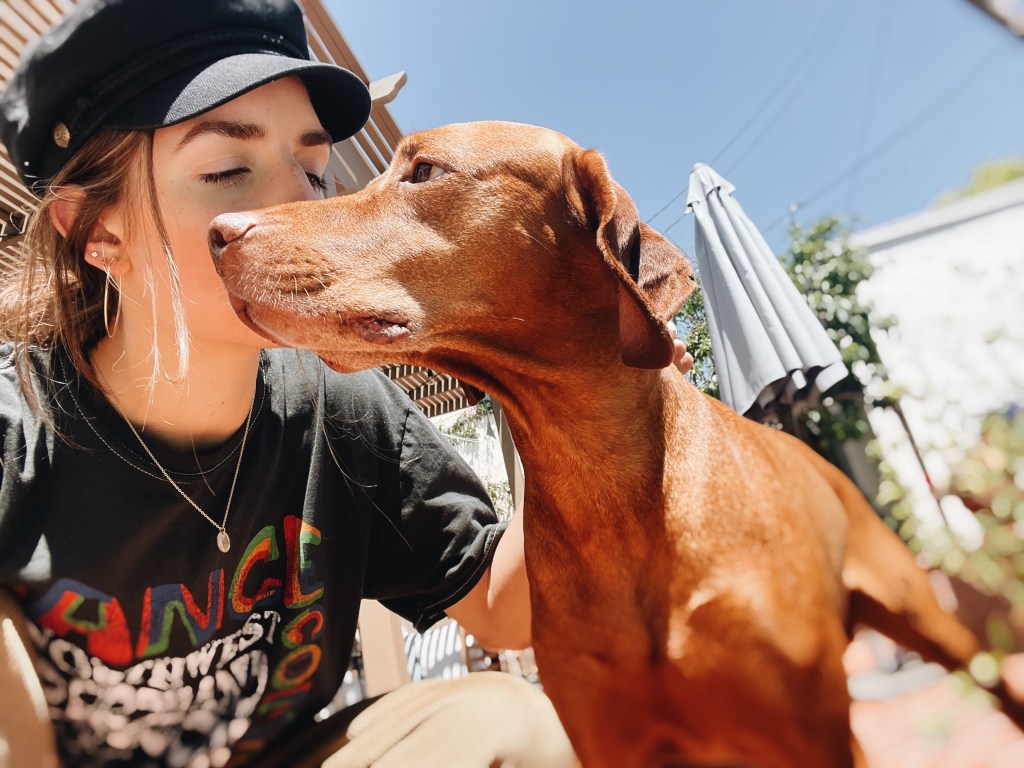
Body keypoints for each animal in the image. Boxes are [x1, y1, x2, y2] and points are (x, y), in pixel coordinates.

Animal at [209, 121, 1024, 767]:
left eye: (427, 171)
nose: (220, 232)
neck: (611, 498)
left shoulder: (811, 734)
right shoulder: (609, 737)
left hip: (928, 621)